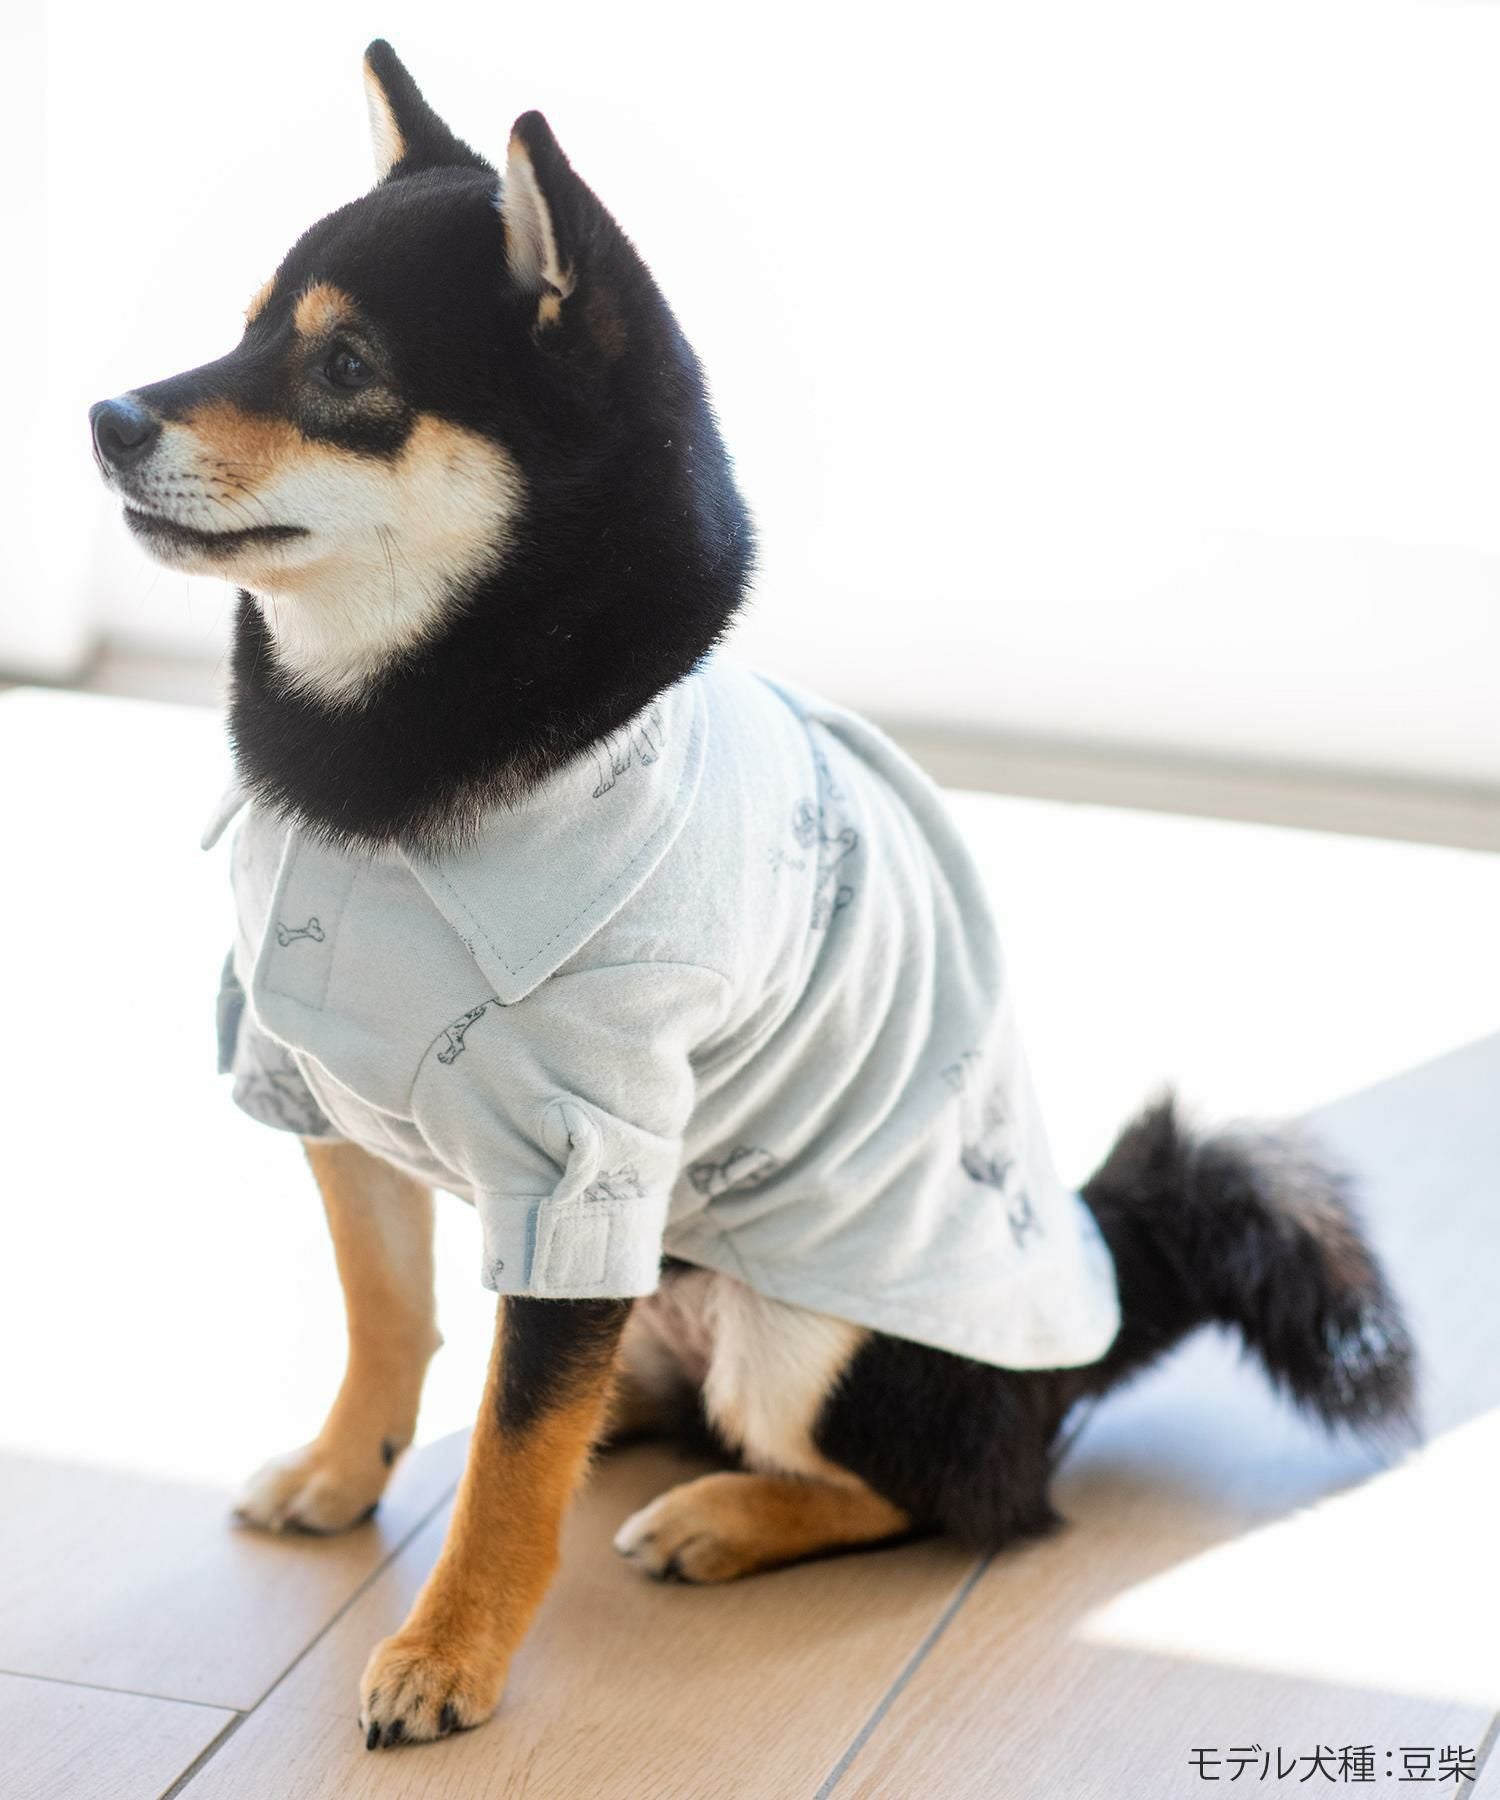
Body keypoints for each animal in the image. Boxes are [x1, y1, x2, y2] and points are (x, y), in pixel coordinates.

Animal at [89, 41, 1416, 1752]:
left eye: (349, 369)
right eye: (245, 326)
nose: (107, 413)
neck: (372, 793)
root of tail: (1101, 1315)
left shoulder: (583, 1168)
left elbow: (511, 1467)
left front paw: (451, 1651)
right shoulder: (314, 1090)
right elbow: (390, 1320)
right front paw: (341, 1470)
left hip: (814, 1334)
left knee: (967, 1498)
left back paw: (730, 1515)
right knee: (624, 1397)